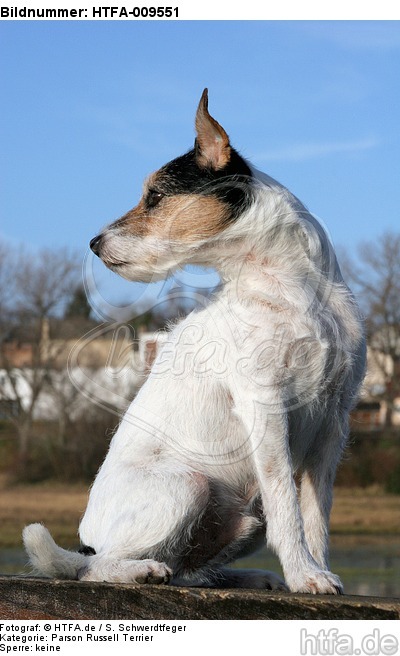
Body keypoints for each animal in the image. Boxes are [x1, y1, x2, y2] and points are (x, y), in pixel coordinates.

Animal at [22, 88, 366, 596]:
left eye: (155, 196)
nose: (93, 243)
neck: (292, 289)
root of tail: (88, 540)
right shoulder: (265, 407)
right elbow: (287, 507)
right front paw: (304, 574)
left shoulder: (333, 423)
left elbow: (314, 517)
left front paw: (315, 570)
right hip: (187, 486)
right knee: (96, 567)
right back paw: (138, 570)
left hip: (243, 517)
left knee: (188, 567)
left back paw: (248, 576)